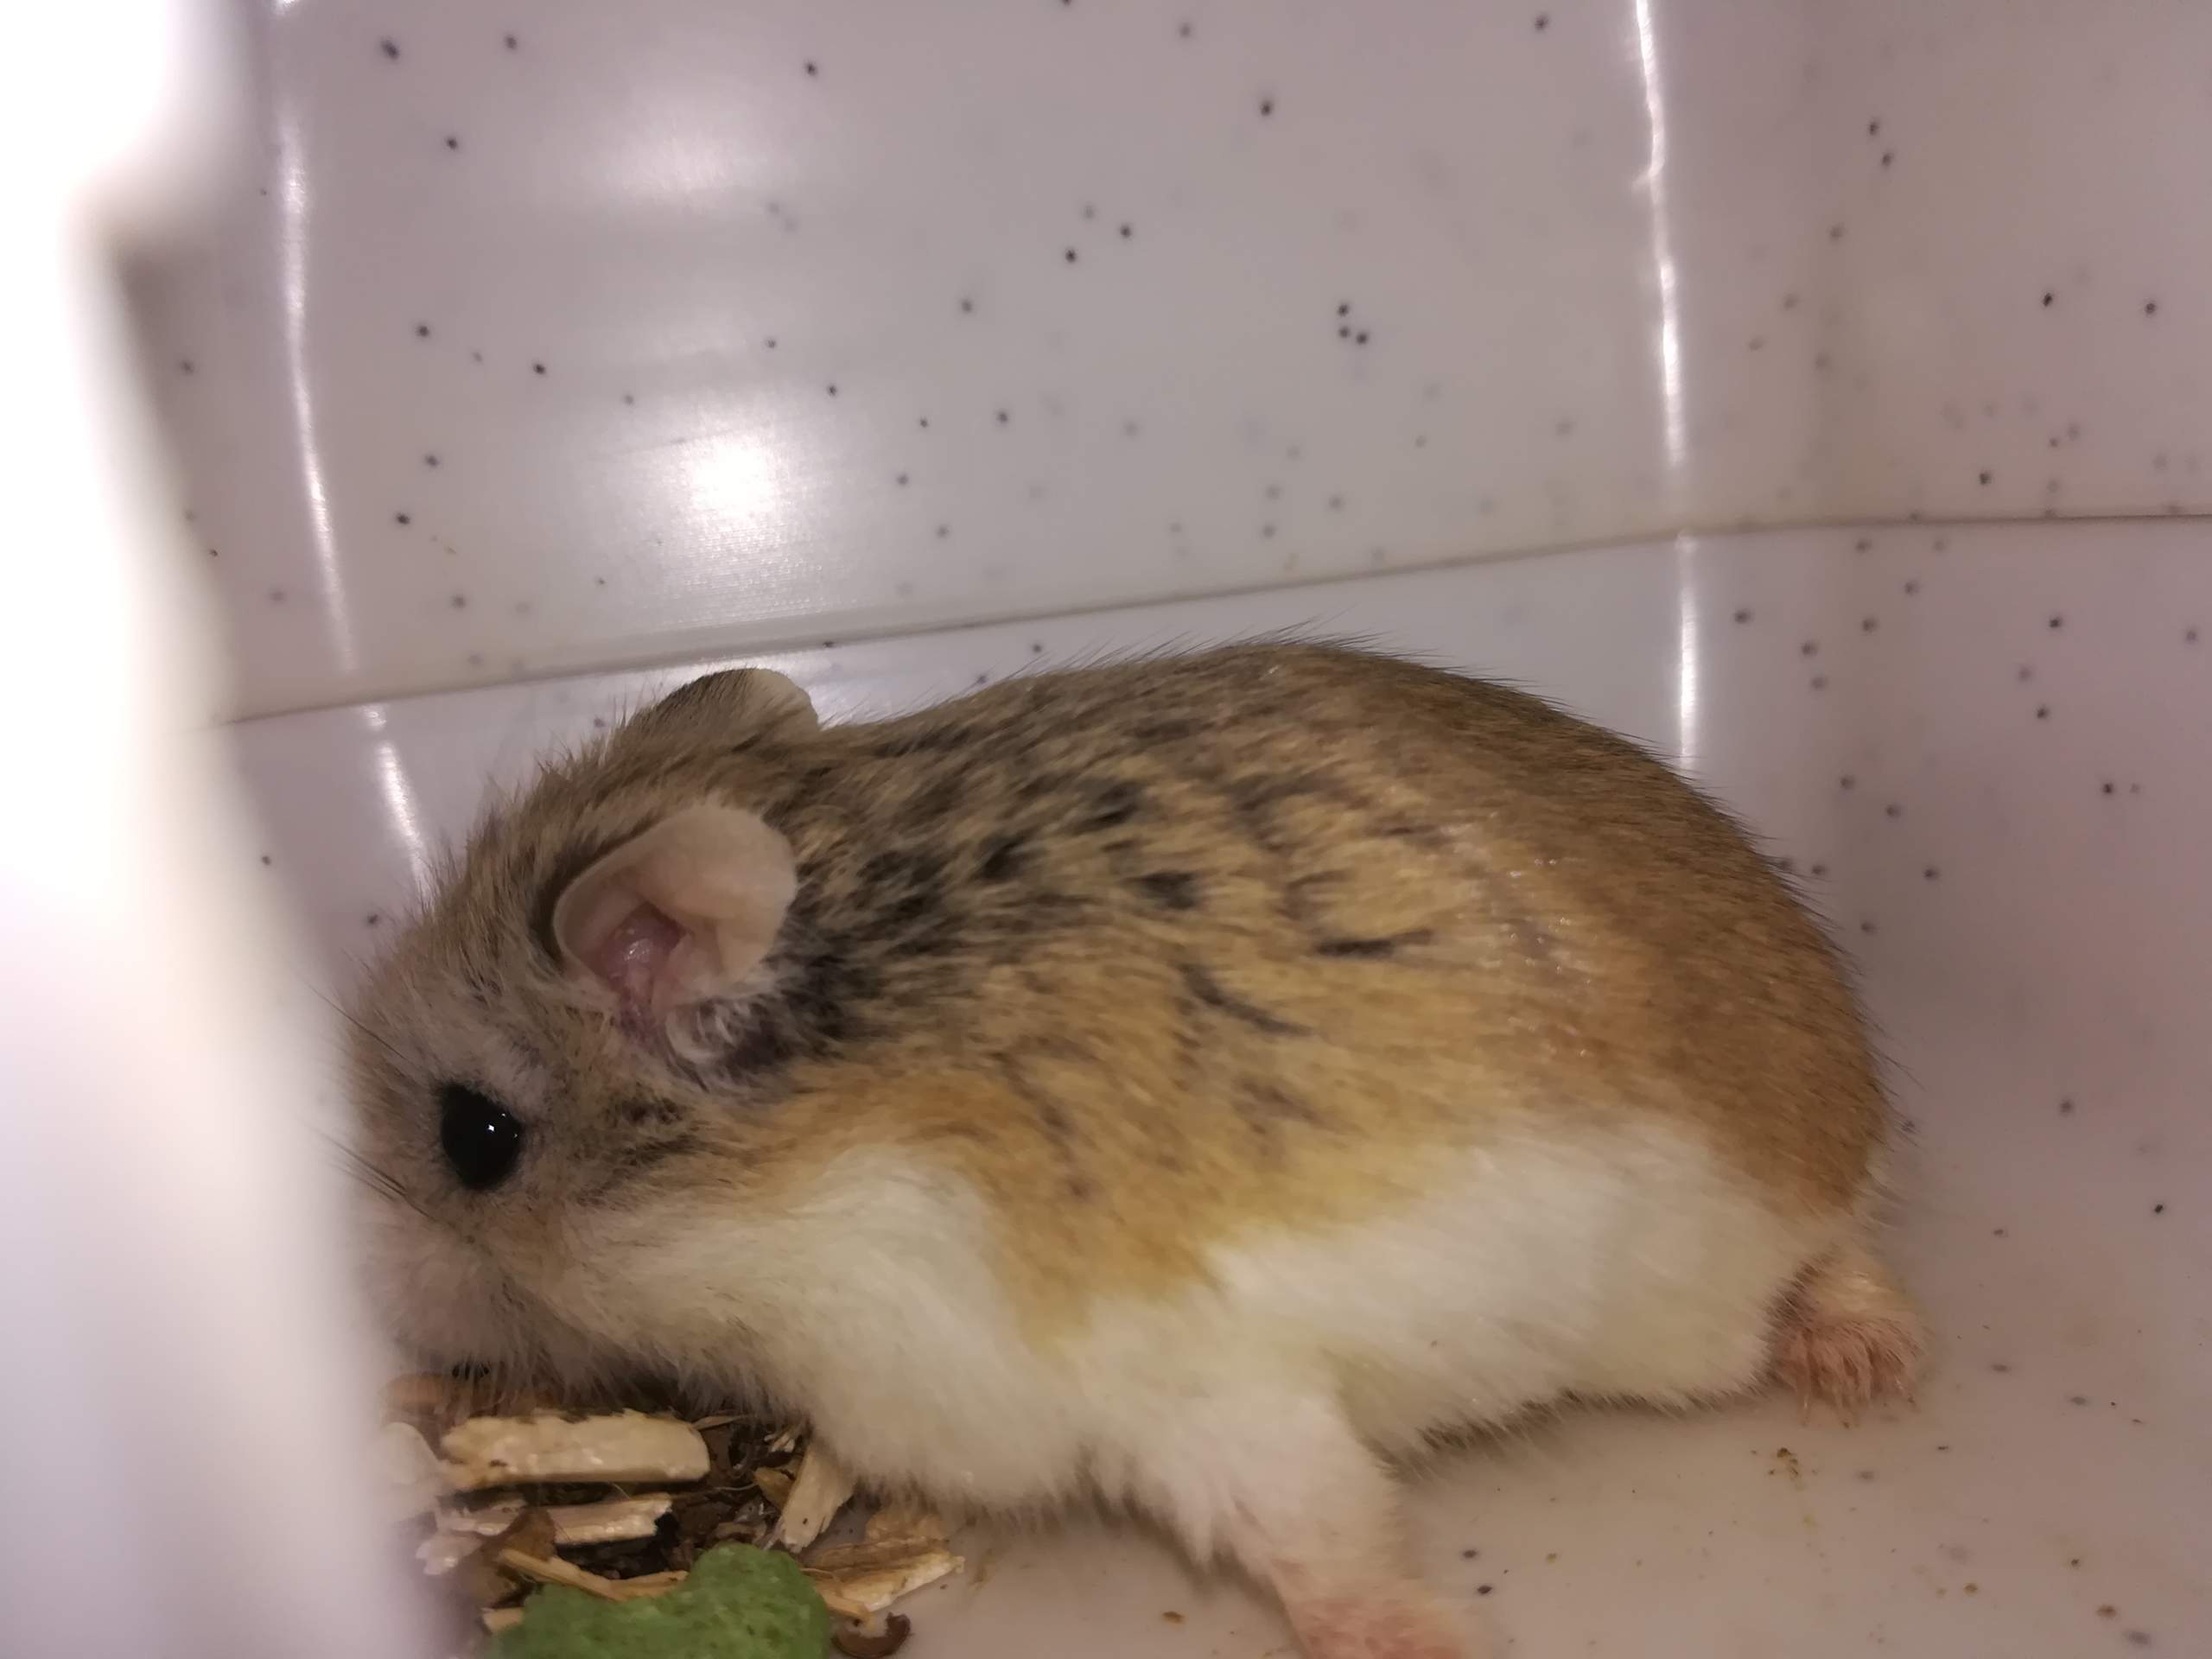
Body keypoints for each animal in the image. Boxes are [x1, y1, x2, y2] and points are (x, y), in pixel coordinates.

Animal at [348, 643, 1921, 1658]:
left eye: (474, 1136)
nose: (386, 1301)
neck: (803, 1159)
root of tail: (1845, 1074)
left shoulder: (1190, 1390)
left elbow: (1326, 1532)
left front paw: (1412, 1644)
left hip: (1726, 1260)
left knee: (1840, 1252)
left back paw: (1860, 1369)